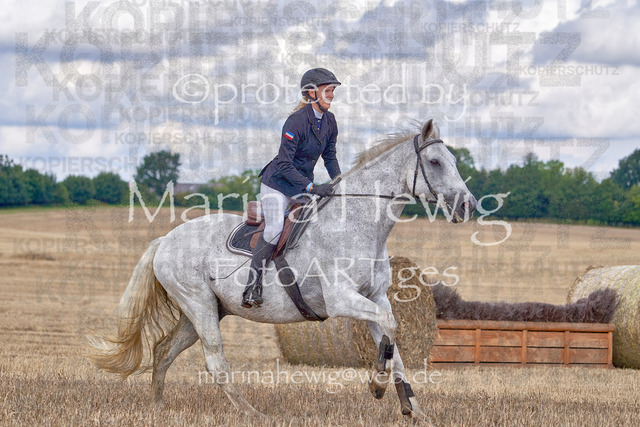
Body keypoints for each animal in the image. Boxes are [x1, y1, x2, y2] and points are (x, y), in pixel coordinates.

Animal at [88, 119, 477, 422]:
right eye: (435, 161)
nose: (468, 205)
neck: (359, 223)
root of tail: (165, 240)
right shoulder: (342, 300)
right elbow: (391, 330)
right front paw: (377, 387)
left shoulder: (376, 297)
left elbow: (394, 343)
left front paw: (413, 408)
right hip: (198, 304)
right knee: (215, 361)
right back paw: (251, 413)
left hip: (203, 310)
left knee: (163, 352)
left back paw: (158, 406)